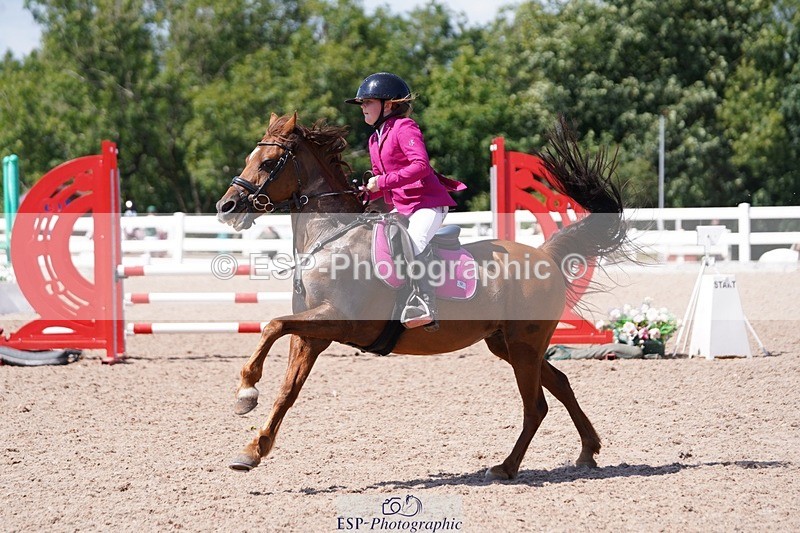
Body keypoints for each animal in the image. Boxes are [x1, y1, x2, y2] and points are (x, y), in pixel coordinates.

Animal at [215, 112, 627, 480]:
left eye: (268, 163)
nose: (226, 208)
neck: (331, 236)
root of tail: (547, 254)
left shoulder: (337, 319)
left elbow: (272, 325)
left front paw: (246, 390)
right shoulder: (311, 333)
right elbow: (287, 389)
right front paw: (253, 449)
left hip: (523, 345)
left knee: (536, 406)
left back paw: (506, 467)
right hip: (507, 344)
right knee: (560, 383)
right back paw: (587, 451)